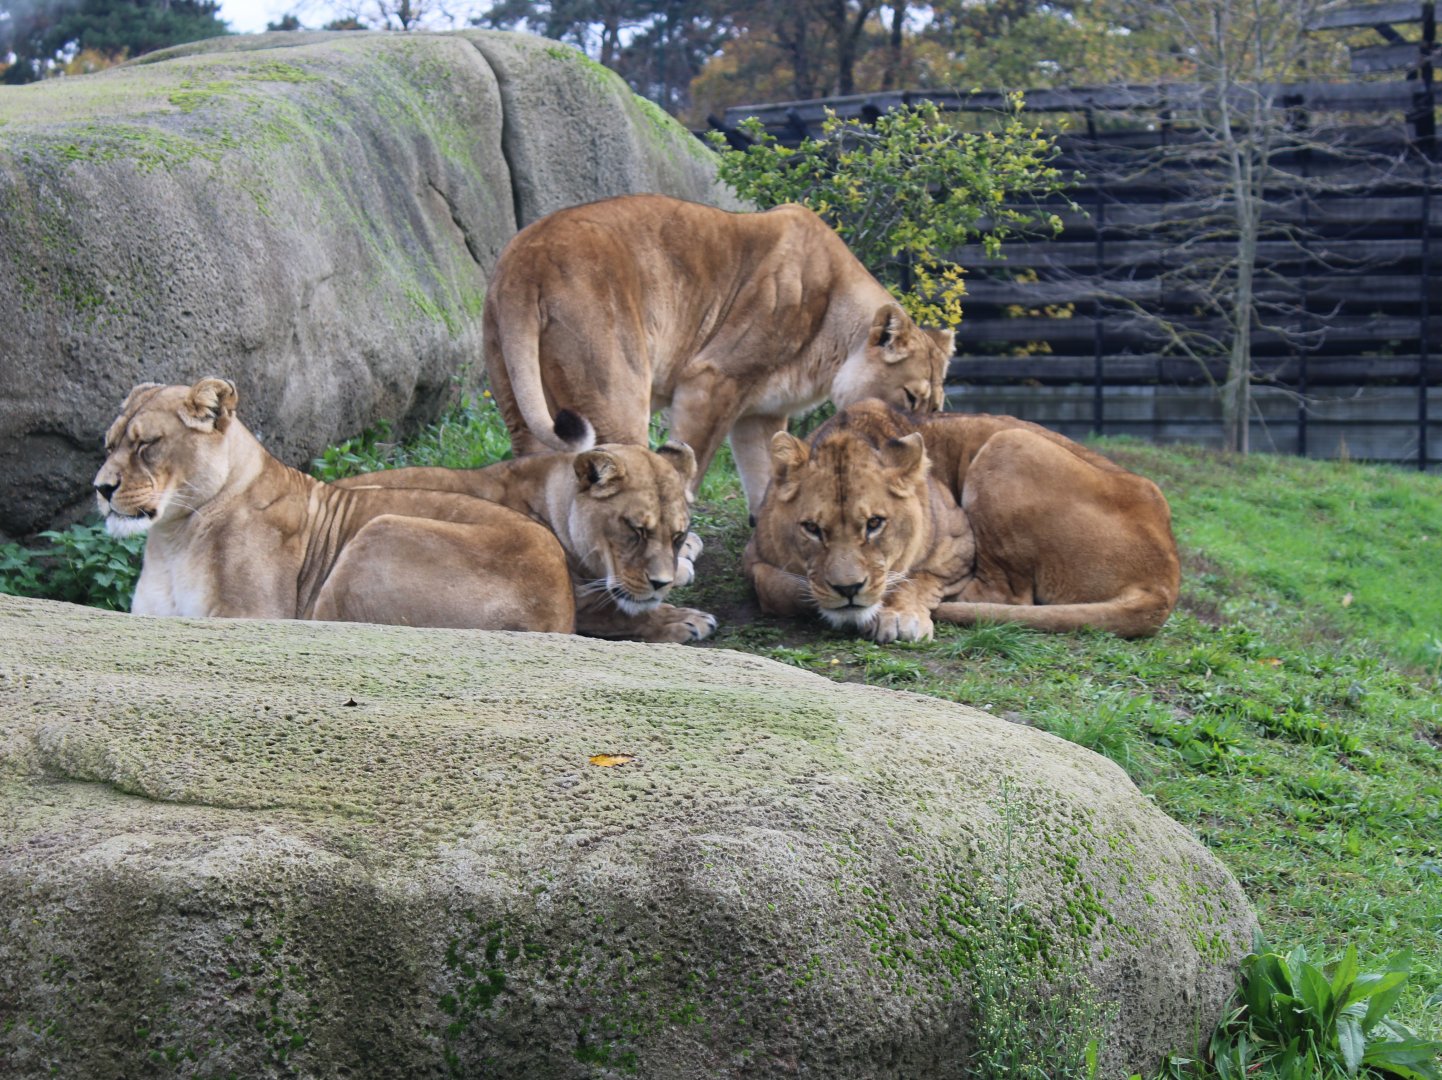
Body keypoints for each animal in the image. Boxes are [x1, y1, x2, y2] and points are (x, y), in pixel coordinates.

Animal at [94, 379, 575, 634]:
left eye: (147, 445)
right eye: (110, 444)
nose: (100, 488)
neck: (172, 539)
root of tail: (562, 607)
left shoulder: (253, 614)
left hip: (376, 534)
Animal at [335, 442, 716, 644]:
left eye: (677, 534)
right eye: (635, 530)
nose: (660, 583)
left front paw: (686, 559)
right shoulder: (578, 600)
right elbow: (619, 612)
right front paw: (685, 620)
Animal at [483, 193, 956, 518]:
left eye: (934, 407)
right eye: (910, 397)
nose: (914, 432)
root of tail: (529, 255)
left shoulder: (761, 413)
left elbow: (766, 472)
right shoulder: (712, 378)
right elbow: (691, 457)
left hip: (516, 395)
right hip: (615, 393)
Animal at [745, 401, 1180, 642]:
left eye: (875, 524)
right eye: (812, 529)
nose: (849, 588)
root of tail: (1165, 579)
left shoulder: (959, 542)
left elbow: (919, 579)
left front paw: (899, 615)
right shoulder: (755, 554)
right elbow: (776, 586)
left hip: (1008, 444)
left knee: (1007, 596)